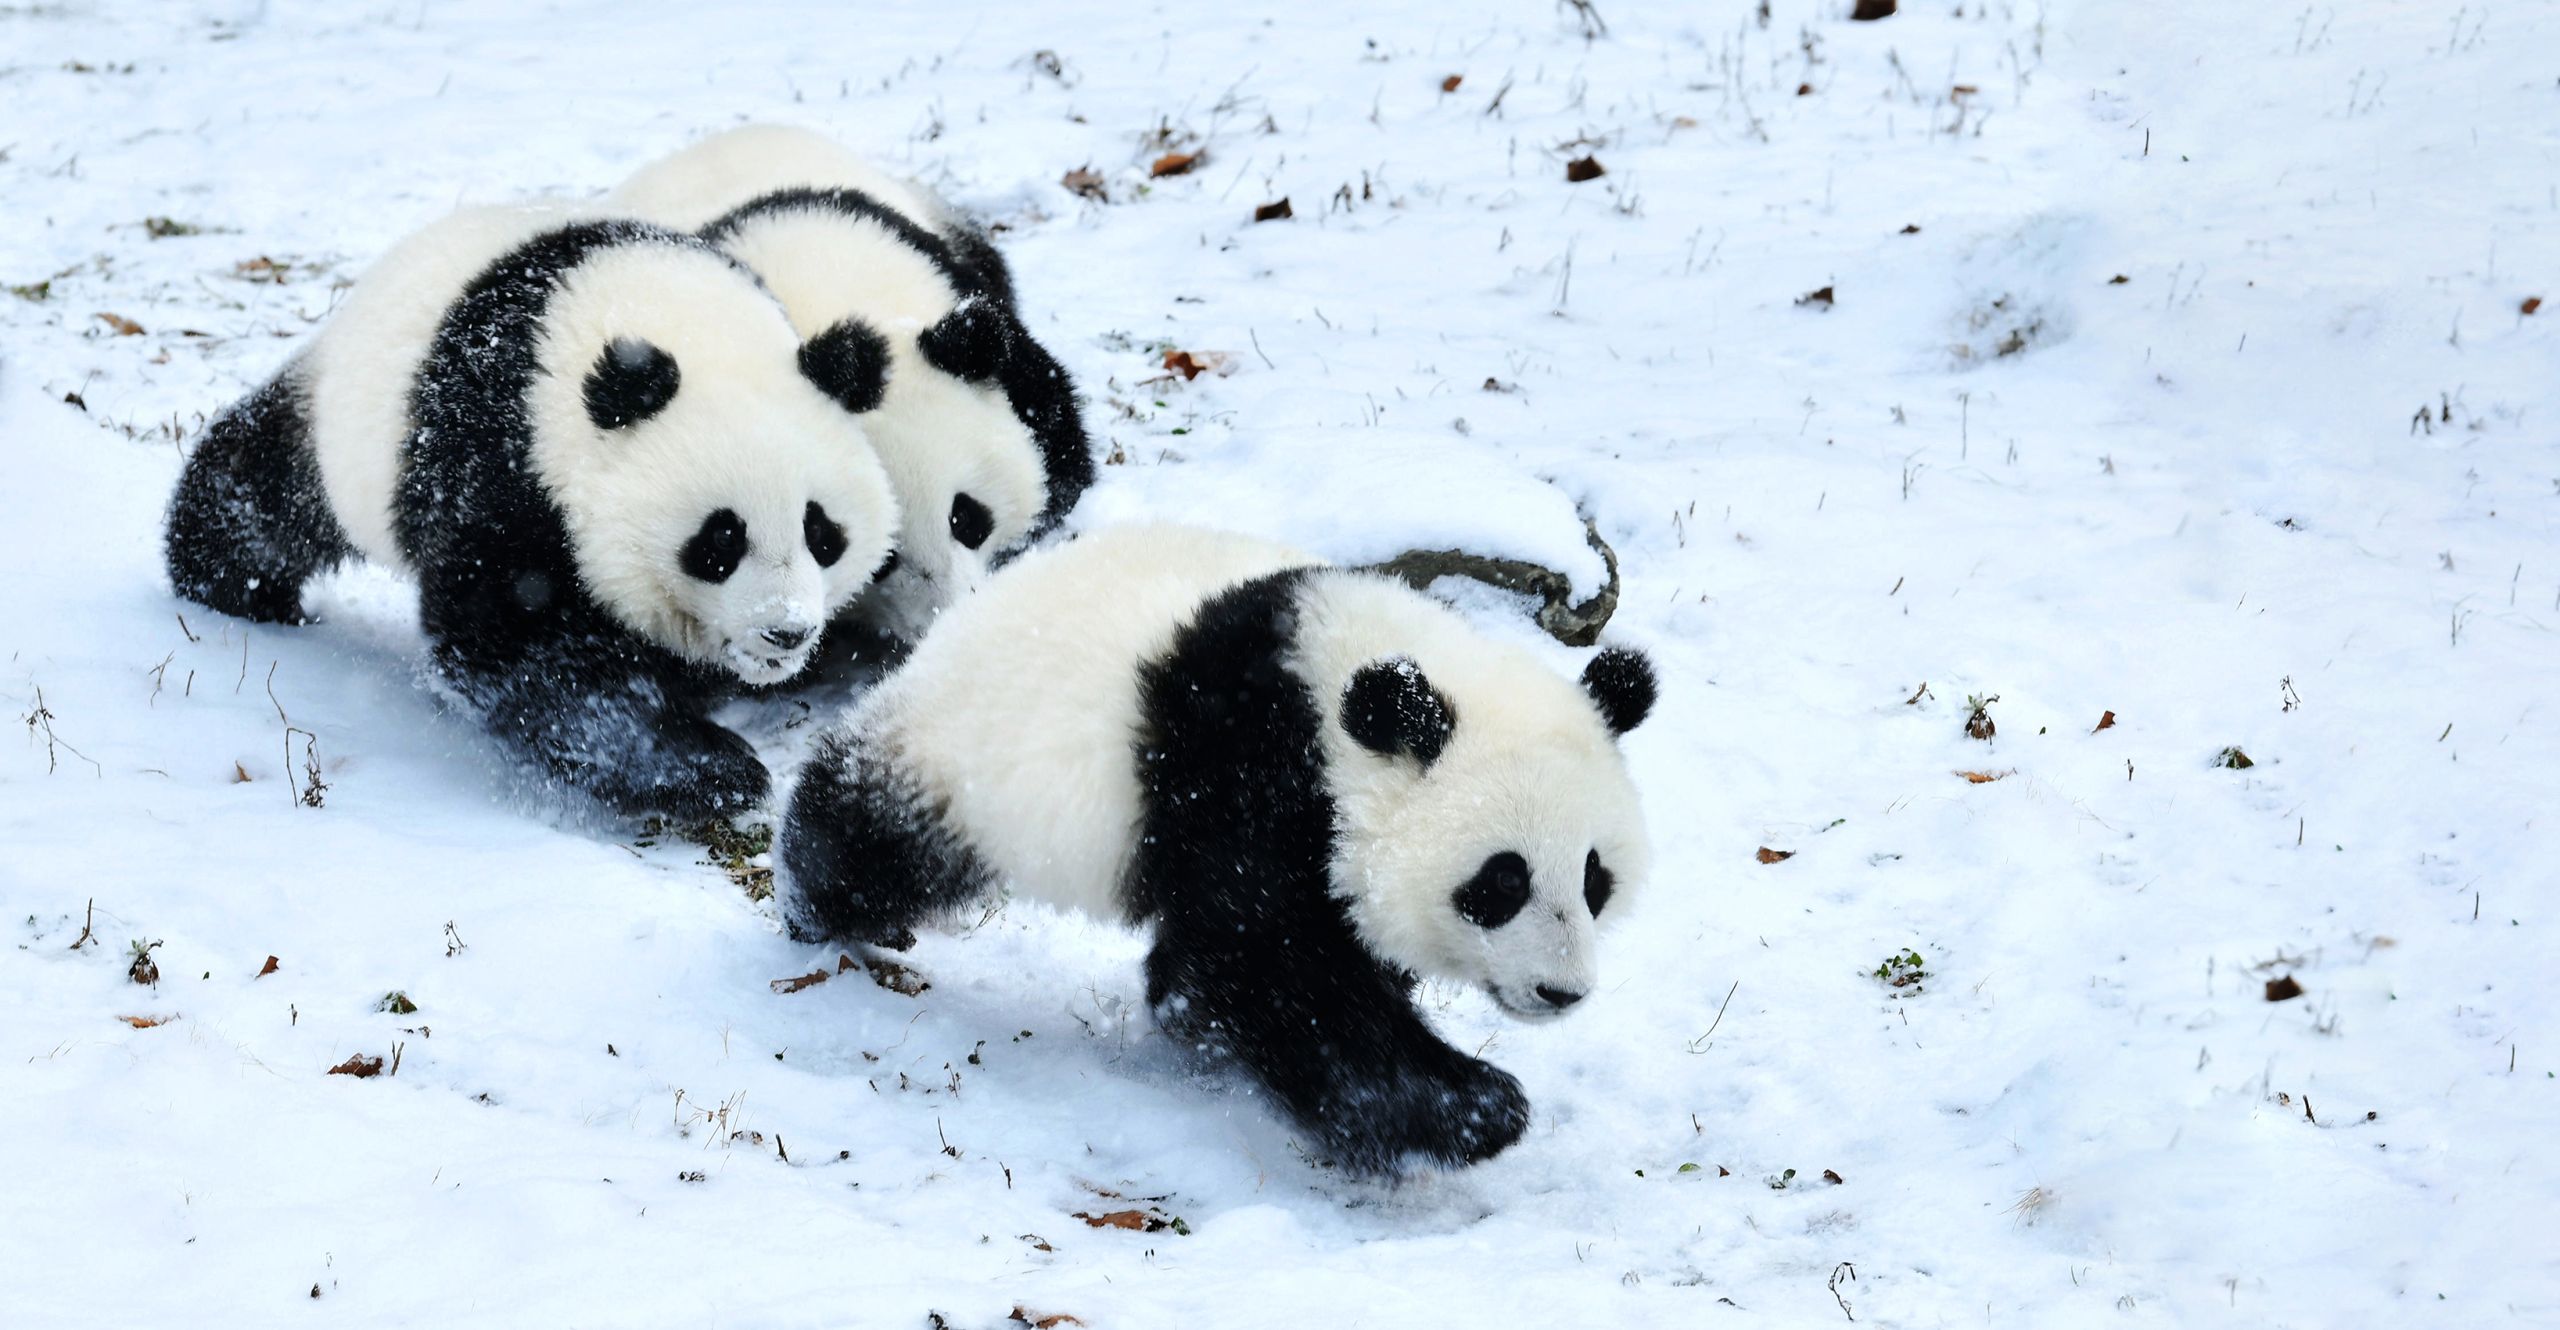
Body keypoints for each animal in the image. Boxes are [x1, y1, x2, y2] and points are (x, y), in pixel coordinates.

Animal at [164, 205, 901, 818]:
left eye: (821, 533)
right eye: (720, 541)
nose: (787, 633)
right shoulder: (503, 460)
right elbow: (519, 645)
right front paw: (706, 768)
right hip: (345, 431)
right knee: (262, 495)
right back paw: (233, 586)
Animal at [778, 525, 1657, 1172]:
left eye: (1594, 878)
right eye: (1502, 881)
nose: (1560, 992)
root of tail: (961, 615)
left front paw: (1189, 1022)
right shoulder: (1251, 774)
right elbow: (1278, 966)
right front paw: (1470, 1106)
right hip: (965, 763)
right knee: (868, 835)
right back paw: (818, 907)